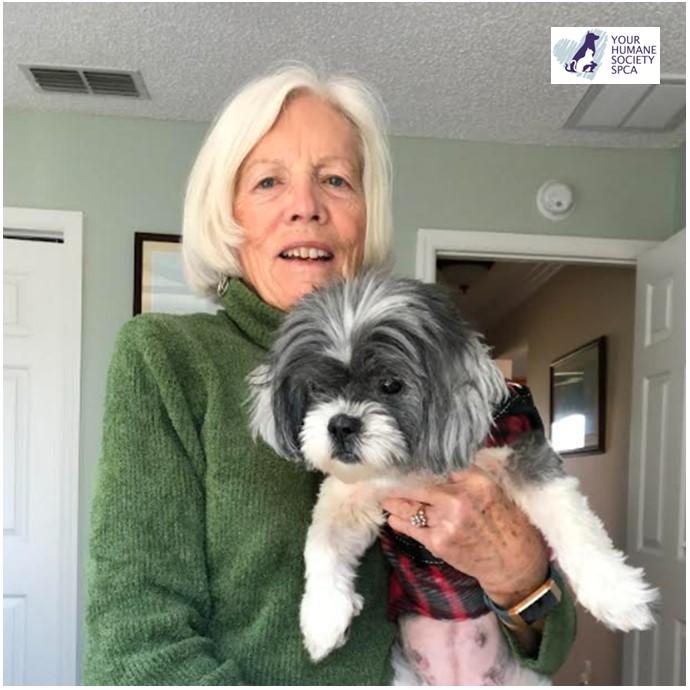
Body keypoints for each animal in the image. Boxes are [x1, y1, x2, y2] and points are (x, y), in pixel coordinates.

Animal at [247, 270, 656, 684]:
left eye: (391, 385)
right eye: (317, 388)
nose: (341, 424)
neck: (414, 465)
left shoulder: (522, 453)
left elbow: (571, 522)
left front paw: (616, 592)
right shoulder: (354, 495)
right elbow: (322, 545)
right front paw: (323, 619)